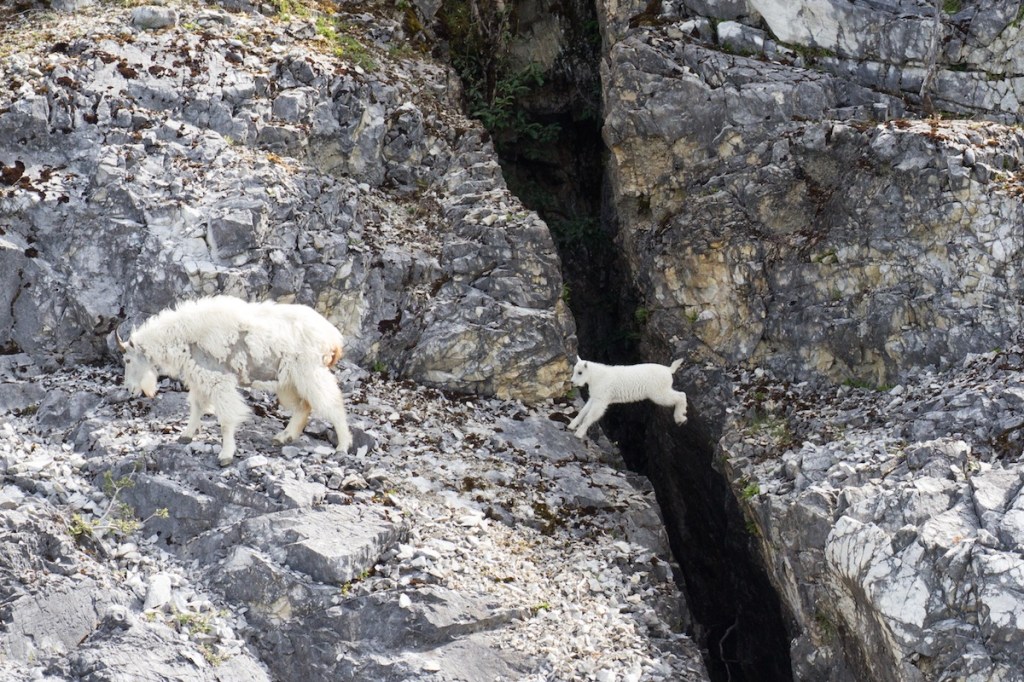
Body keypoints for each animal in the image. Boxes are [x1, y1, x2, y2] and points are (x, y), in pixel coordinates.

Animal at [118, 295, 352, 466]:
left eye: (127, 359)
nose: (129, 389)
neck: (183, 336)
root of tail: (333, 337)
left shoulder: (219, 381)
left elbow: (226, 420)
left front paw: (226, 455)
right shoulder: (200, 379)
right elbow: (197, 407)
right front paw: (186, 435)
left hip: (310, 373)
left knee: (331, 404)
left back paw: (342, 446)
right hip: (287, 382)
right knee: (303, 406)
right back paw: (284, 437)